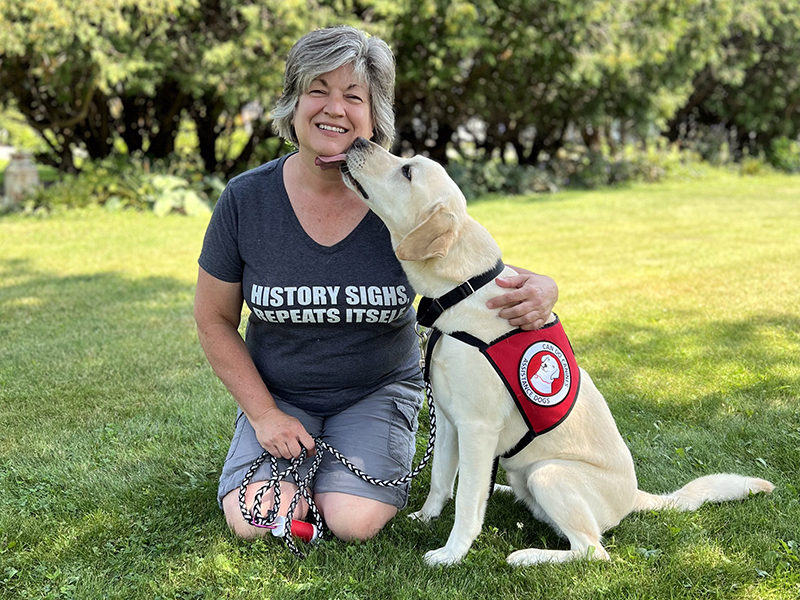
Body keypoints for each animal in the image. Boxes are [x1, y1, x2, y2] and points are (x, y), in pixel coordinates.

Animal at [340, 137, 776, 568]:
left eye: (407, 171)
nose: (359, 140)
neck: (463, 289)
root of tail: (634, 498)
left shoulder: (477, 428)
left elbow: (465, 502)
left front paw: (451, 553)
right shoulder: (448, 422)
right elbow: (441, 481)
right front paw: (426, 517)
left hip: (549, 474)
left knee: (592, 550)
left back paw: (527, 555)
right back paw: (502, 492)